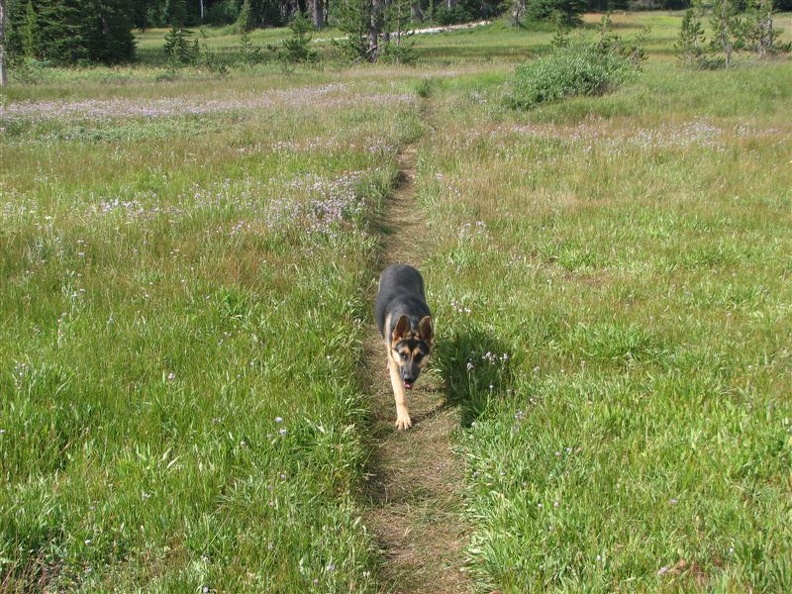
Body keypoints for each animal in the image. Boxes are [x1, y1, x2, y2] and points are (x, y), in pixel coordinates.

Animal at [376, 262, 434, 426]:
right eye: (403, 354)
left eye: (419, 356)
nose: (408, 378)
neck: (412, 321)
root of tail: (399, 264)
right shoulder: (397, 369)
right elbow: (399, 393)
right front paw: (403, 418)